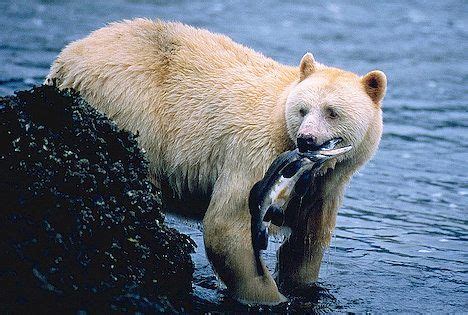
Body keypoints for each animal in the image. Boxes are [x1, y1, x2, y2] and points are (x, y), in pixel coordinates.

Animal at [45, 18, 386, 304]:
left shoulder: (324, 187)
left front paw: (299, 286)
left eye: (332, 112)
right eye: (302, 109)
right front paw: (270, 297)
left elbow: (306, 241)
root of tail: (65, 59)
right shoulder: (254, 152)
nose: (306, 140)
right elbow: (228, 225)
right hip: (129, 101)